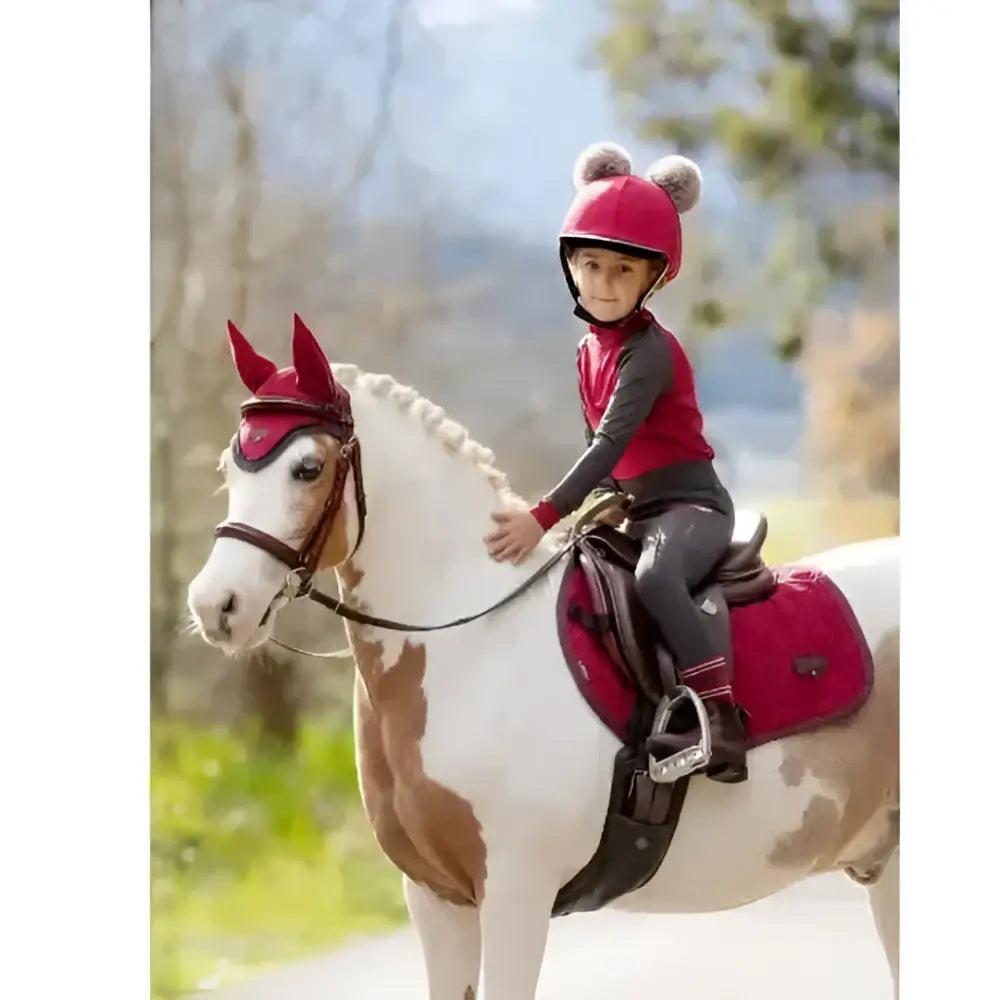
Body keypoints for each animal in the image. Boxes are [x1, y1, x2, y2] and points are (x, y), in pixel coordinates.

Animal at [187, 316, 899, 1000]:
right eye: (229, 469)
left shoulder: (514, 895)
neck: (470, 639)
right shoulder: (436, 900)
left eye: (307, 468)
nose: (215, 604)